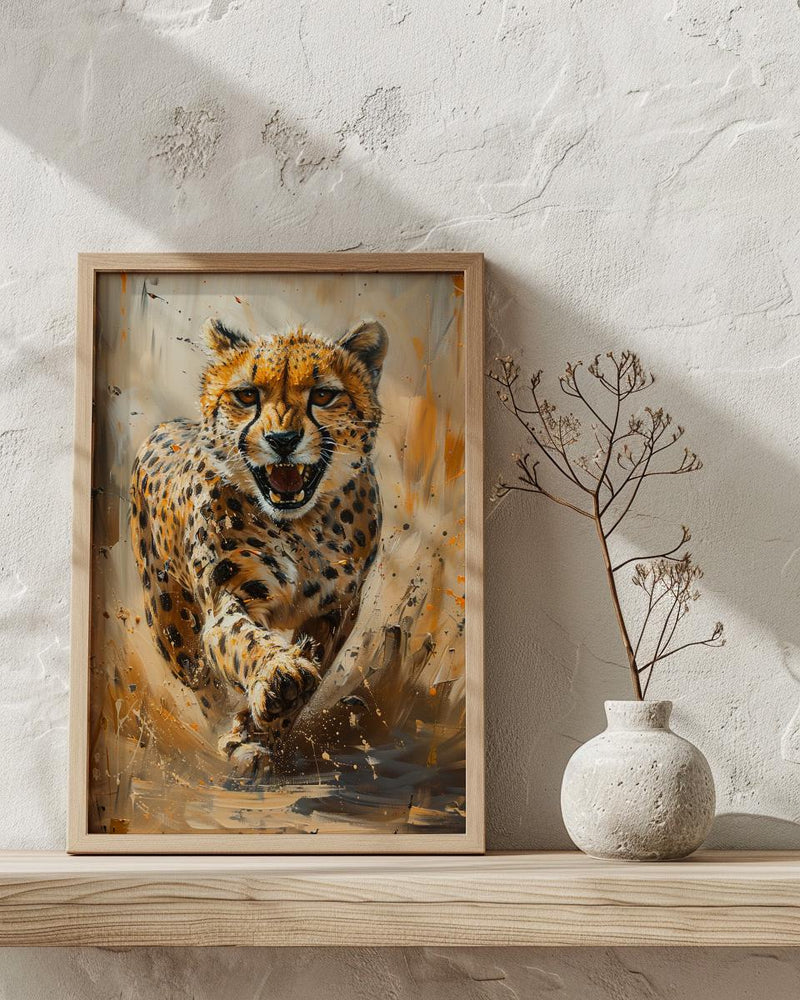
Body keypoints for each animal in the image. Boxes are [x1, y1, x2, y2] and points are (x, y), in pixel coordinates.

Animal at [129, 317, 388, 773]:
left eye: (324, 394)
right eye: (247, 395)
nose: (282, 439)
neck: (300, 525)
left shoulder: (337, 610)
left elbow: (311, 668)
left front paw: (264, 728)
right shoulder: (228, 598)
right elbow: (240, 639)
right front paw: (276, 679)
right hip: (170, 623)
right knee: (203, 682)